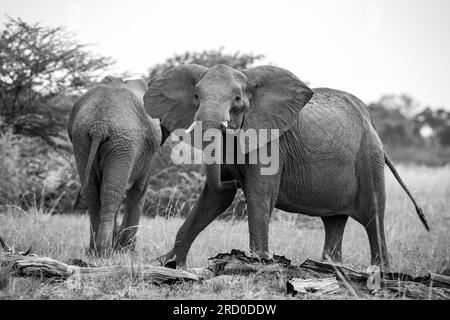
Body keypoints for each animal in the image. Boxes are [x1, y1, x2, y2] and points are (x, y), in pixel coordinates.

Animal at [67, 76, 165, 254]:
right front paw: (127, 250)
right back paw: (104, 251)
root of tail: (99, 126)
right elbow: (139, 191)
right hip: (124, 141)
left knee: (93, 191)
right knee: (111, 192)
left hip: (84, 139)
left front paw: (120, 246)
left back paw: (94, 250)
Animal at [143, 63, 428, 268]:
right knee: (334, 221)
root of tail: (371, 122)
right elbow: (214, 199)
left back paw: (380, 272)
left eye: (237, 100)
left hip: (369, 159)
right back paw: (331, 269)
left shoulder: (272, 143)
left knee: (373, 217)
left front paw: (256, 264)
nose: (233, 180)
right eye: (195, 96)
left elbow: (259, 196)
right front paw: (168, 264)